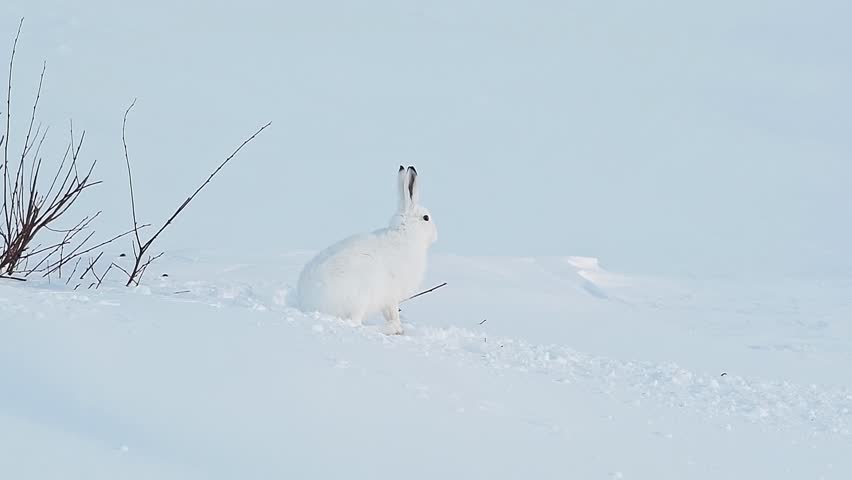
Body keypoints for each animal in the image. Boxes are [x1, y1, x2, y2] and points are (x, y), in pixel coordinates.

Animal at [296, 165, 438, 335]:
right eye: (426, 218)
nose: (436, 235)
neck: (406, 233)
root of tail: (310, 305)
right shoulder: (391, 294)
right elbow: (393, 312)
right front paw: (399, 328)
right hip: (359, 295)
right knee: (355, 323)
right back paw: (390, 328)